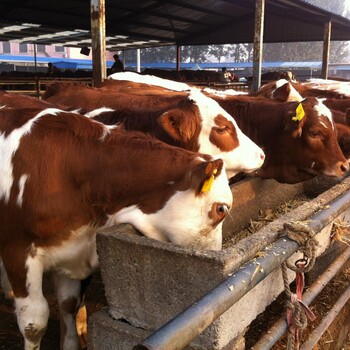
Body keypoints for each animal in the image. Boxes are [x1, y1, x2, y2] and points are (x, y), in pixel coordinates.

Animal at [0, 106, 234, 350]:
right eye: (221, 209)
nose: (216, 255)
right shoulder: (17, 251)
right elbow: (34, 323)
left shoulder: (72, 250)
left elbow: (68, 306)